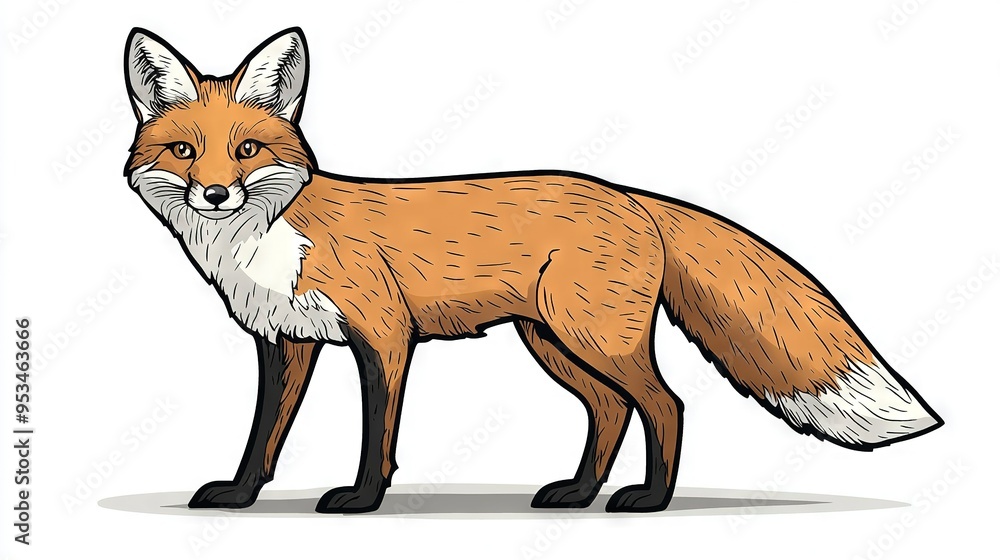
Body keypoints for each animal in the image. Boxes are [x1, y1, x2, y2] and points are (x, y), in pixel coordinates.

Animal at [123, 27, 942, 514]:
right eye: (185, 152)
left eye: (248, 150)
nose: (215, 193)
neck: (268, 238)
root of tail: (630, 195)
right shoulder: (284, 342)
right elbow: (264, 432)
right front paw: (239, 494)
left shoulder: (382, 337)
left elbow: (375, 433)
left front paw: (361, 499)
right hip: (553, 342)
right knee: (612, 410)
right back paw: (580, 491)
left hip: (593, 337)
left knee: (667, 404)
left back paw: (650, 500)